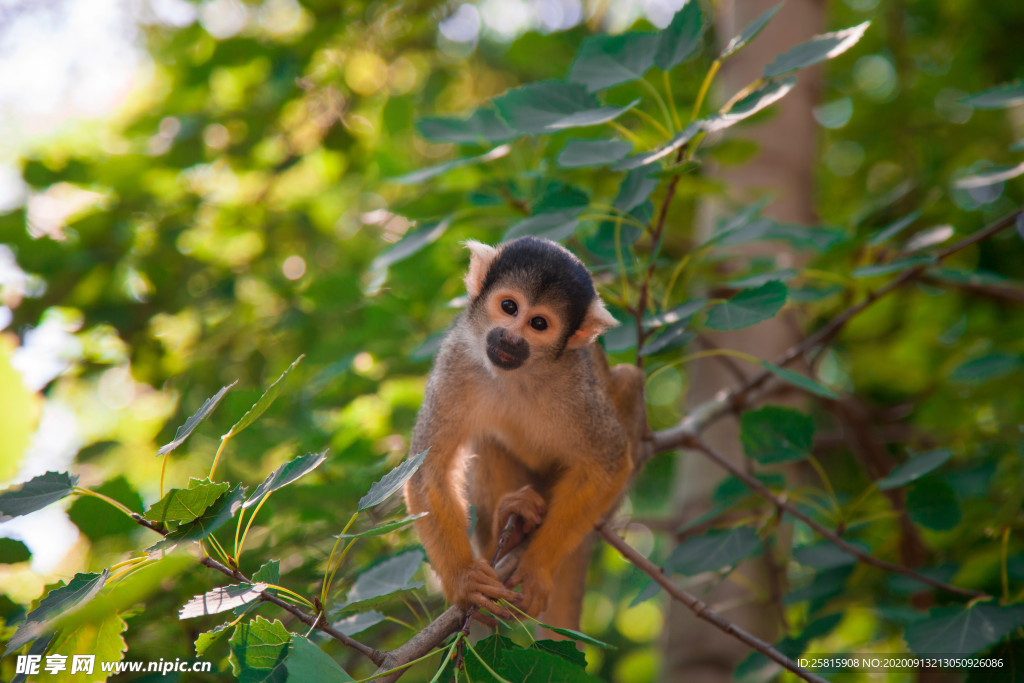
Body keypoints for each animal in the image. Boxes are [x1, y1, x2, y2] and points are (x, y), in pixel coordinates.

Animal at [403, 236, 643, 630]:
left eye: (539, 323)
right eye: (509, 307)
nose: (511, 339)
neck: (518, 374)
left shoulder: (577, 384)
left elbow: (607, 463)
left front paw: (536, 568)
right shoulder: (457, 359)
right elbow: (427, 470)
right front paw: (464, 581)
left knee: (628, 379)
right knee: (486, 439)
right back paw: (506, 527)